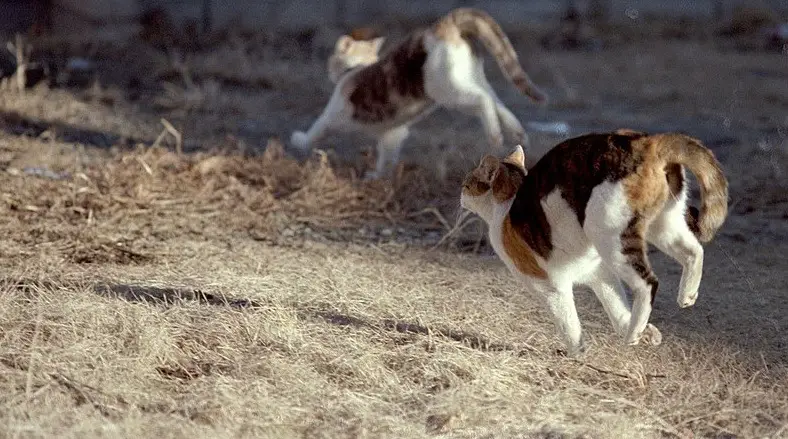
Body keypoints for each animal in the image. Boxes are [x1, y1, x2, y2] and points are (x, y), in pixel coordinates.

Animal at [290, 7, 548, 179]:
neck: (356, 66)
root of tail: (445, 24)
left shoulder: (333, 114)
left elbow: (316, 130)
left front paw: (299, 140)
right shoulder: (392, 133)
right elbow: (387, 157)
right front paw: (380, 177)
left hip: (447, 90)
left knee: (484, 101)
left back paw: (495, 136)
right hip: (473, 79)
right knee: (497, 103)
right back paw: (517, 133)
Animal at [458, 129, 728, 356]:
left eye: (466, 183)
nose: (460, 193)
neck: (507, 204)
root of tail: (646, 142)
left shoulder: (551, 287)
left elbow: (569, 324)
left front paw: (576, 355)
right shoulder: (600, 273)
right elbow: (617, 308)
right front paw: (645, 333)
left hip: (611, 237)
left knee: (647, 283)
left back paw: (633, 333)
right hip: (664, 226)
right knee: (694, 252)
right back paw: (685, 296)